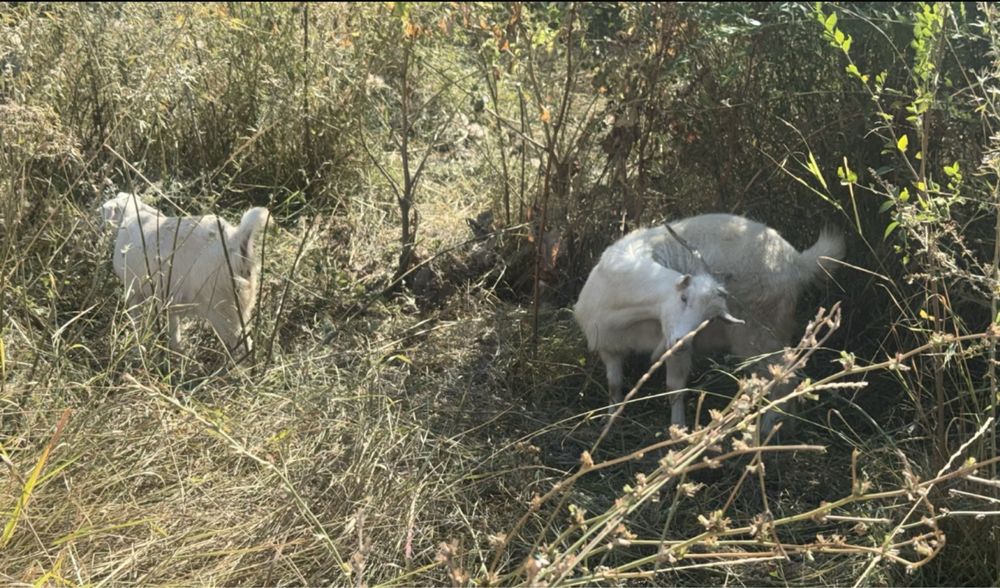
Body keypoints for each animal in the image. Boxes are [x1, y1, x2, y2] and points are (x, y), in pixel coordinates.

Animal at [101, 192, 271, 355]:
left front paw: (137, 349)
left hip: (222, 309)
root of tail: (236, 239)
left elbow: (136, 320)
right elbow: (173, 326)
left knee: (241, 345)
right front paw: (177, 349)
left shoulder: (132, 290)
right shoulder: (169, 297)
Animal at [574, 213, 844, 433]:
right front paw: (610, 421)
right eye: (683, 298)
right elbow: (614, 385)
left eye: (709, 318)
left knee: (784, 378)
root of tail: (797, 261)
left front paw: (678, 430)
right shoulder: (610, 346)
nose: (682, 342)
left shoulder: (675, 351)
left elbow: (675, 388)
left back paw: (767, 430)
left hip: (760, 336)